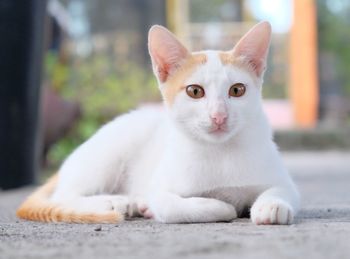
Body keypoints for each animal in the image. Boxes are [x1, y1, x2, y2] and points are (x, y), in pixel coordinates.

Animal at [17, 21, 300, 225]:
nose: (219, 116)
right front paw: (221, 206)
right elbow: (173, 206)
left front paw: (271, 205)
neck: (220, 152)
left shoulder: (282, 179)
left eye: (237, 90)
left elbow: (282, 189)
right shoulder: (161, 190)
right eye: (195, 91)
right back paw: (115, 202)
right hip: (109, 151)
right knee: (64, 195)